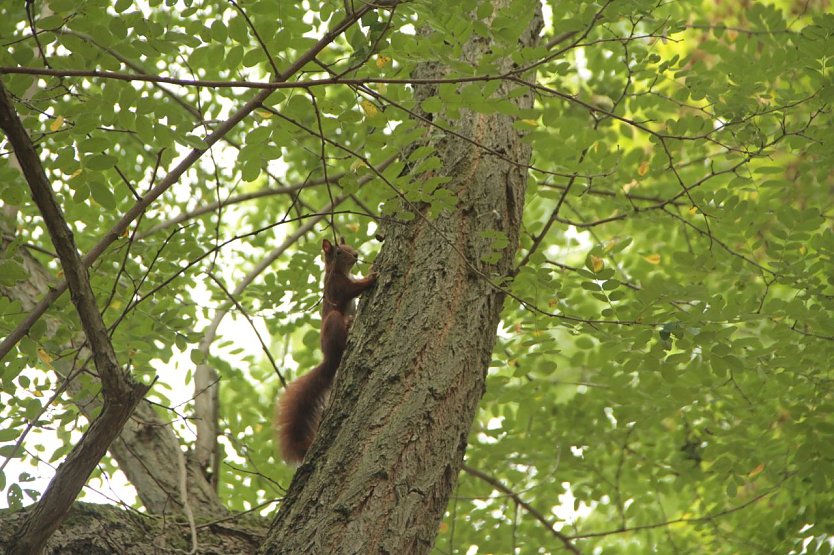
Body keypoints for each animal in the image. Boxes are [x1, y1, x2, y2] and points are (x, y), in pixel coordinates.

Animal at [274, 237, 376, 462]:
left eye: (348, 246)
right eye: (338, 252)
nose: (356, 254)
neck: (338, 272)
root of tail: (329, 359)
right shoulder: (337, 287)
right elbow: (351, 290)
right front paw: (370, 277)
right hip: (333, 321)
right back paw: (348, 325)